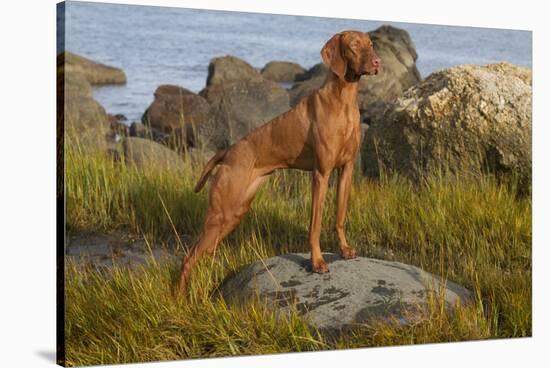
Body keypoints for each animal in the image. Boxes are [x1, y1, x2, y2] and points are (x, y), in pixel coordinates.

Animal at [179, 30, 382, 294]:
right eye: (354, 45)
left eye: (370, 44)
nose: (378, 62)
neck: (344, 100)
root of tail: (228, 151)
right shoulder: (321, 173)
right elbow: (315, 225)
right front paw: (317, 262)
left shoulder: (345, 170)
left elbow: (340, 216)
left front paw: (344, 249)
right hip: (220, 212)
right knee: (187, 258)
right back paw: (178, 297)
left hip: (233, 213)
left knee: (201, 254)